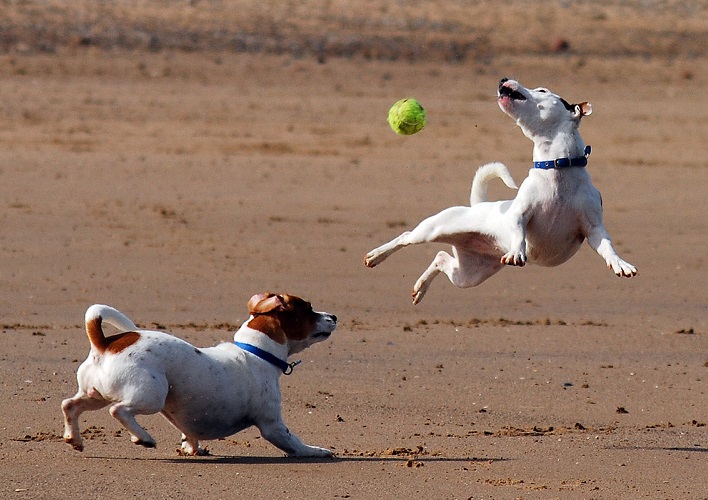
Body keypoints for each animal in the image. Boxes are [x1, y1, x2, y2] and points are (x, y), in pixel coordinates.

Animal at [61, 292, 338, 458]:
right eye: (309, 309)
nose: (334, 316)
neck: (256, 351)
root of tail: (104, 344)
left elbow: (190, 435)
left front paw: (192, 448)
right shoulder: (273, 425)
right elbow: (295, 443)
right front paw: (316, 450)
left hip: (95, 395)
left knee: (70, 405)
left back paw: (74, 439)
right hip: (151, 396)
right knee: (118, 410)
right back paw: (144, 438)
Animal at [366, 78, 636, 304]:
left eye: (542, 90)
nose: (502, 79)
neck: (557, 171)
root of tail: (477, 206)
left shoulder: (593, 228)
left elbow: (607, 246)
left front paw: (620, 264)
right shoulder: (520, 214)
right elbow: (518, 231)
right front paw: (517, 251)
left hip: (468, 275)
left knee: (441, 258)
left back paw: (420, 288)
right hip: (433, 230)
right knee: (405, 236)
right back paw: (376, 256)